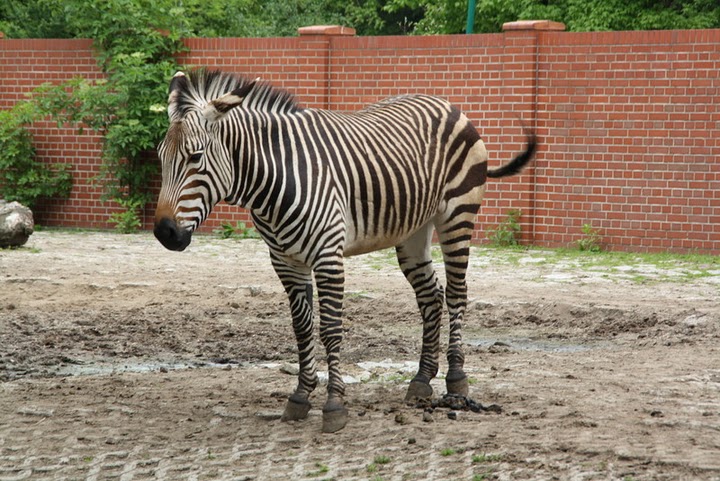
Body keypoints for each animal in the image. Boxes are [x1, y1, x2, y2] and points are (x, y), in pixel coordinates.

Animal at [153, 69, 536, 433]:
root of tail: (446, 103)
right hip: (413, 231)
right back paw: (421, 380)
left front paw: (334, 405)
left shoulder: (327, 256)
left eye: (195, 157)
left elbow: (331, 329)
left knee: (457, 292)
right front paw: (300, 396)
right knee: (431, 296)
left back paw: (456, 380)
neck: (275, 180)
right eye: (161, 157)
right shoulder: (285, 260)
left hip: (457, 214)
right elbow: (302, 328)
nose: (164, 233)